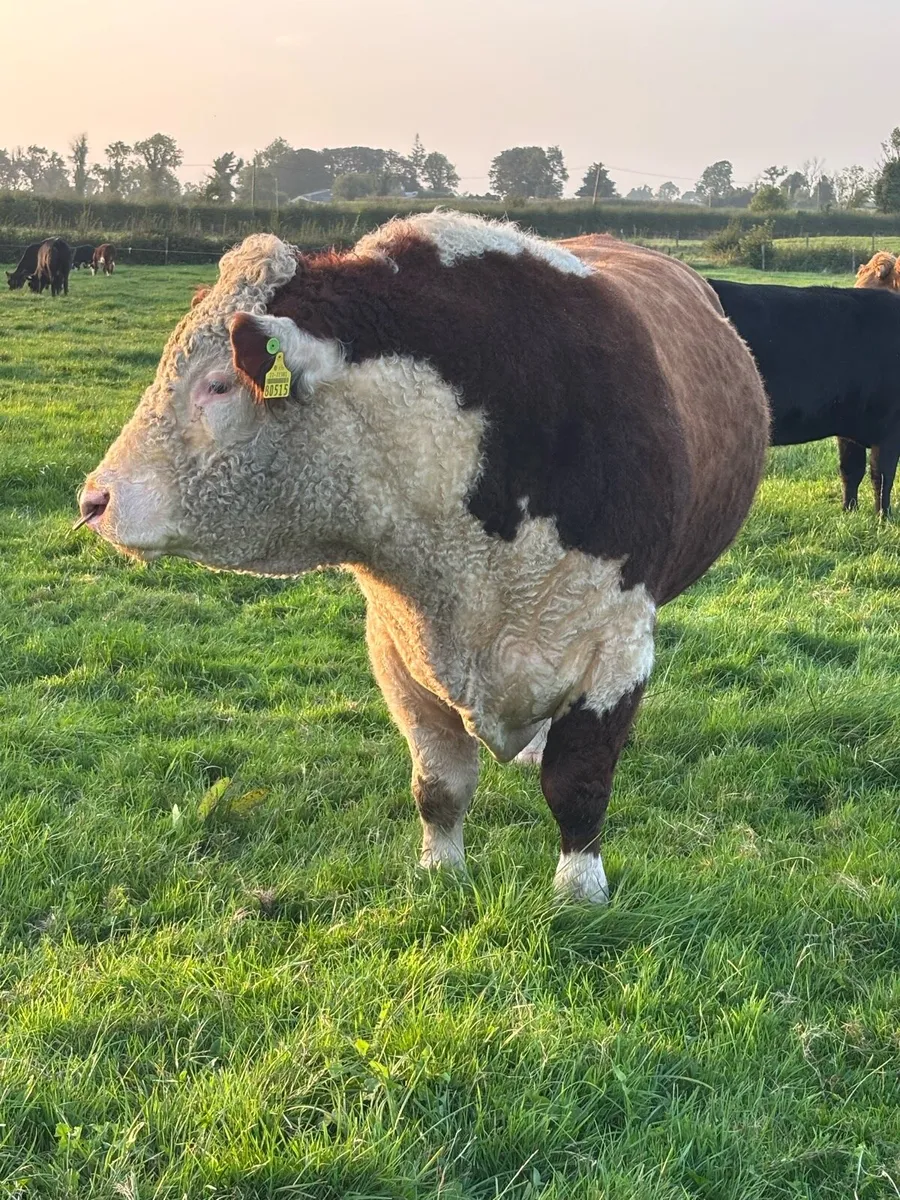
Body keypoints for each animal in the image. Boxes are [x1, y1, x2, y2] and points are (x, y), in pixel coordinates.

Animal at [77, 214, 768, 903]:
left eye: (218, 384)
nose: (94, 499)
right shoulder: (397, 646)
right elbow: (439, 781)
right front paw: (441, 870)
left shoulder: (618, 646)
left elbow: (579, 782)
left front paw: (579, 892)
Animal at [706, 278, 900, 519]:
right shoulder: (890, 426)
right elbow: (881, 475)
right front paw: (883, 517)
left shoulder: (849, 426)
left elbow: (851, 470)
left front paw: (849, 511)